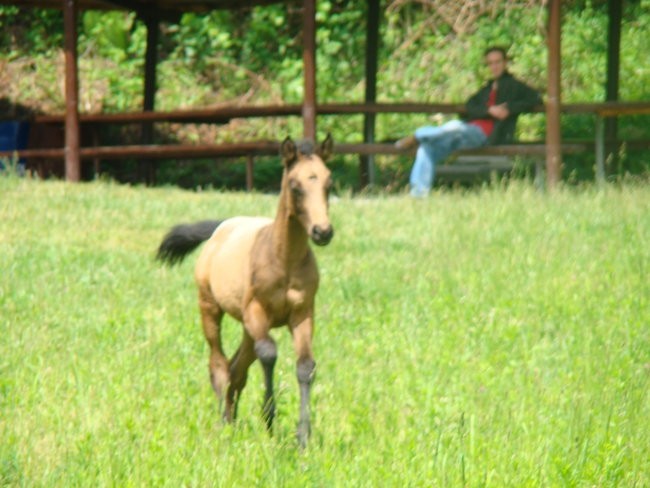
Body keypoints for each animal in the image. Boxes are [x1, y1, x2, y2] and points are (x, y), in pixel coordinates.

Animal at [154, 135, 332, 448]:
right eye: (295, 186)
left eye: (328, 184)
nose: (323, 231)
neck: (282, 260)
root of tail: (223, 227)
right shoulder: (256, 311)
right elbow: (269, 354)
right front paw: (269, 418)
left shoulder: (302, 313)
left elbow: (305, 366)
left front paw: (302, 436)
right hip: (211, 309)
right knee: (219, 365)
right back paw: (222, 424)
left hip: (249, 328)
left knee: (237, 368)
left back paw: (232, 419)